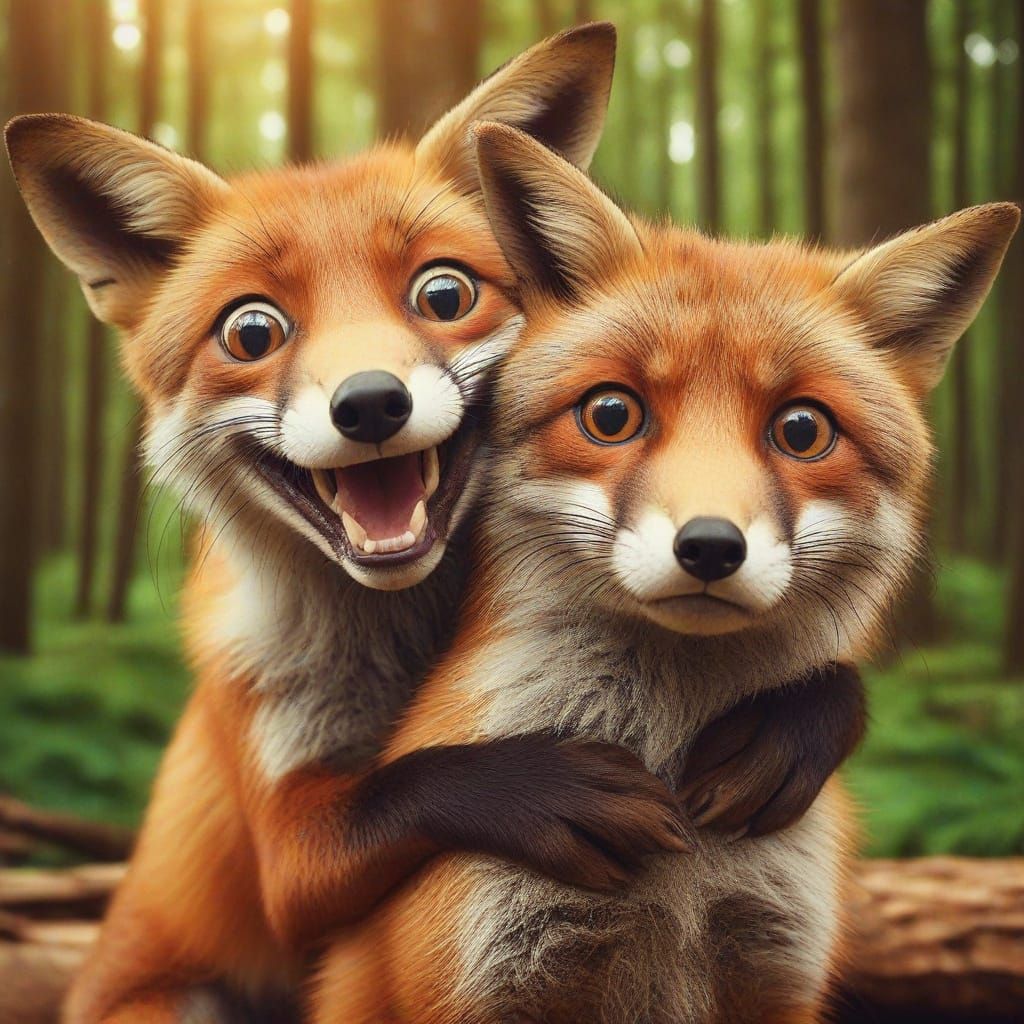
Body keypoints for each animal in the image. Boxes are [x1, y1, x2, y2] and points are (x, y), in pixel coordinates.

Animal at [9, 23, 865, 1023]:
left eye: (443, 294)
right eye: (252, 331)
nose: (370, 403)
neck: (415, 638)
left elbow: (830, 681)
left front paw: (790, 727)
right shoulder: (283, 824)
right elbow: (405, 789)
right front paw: (537, 786)